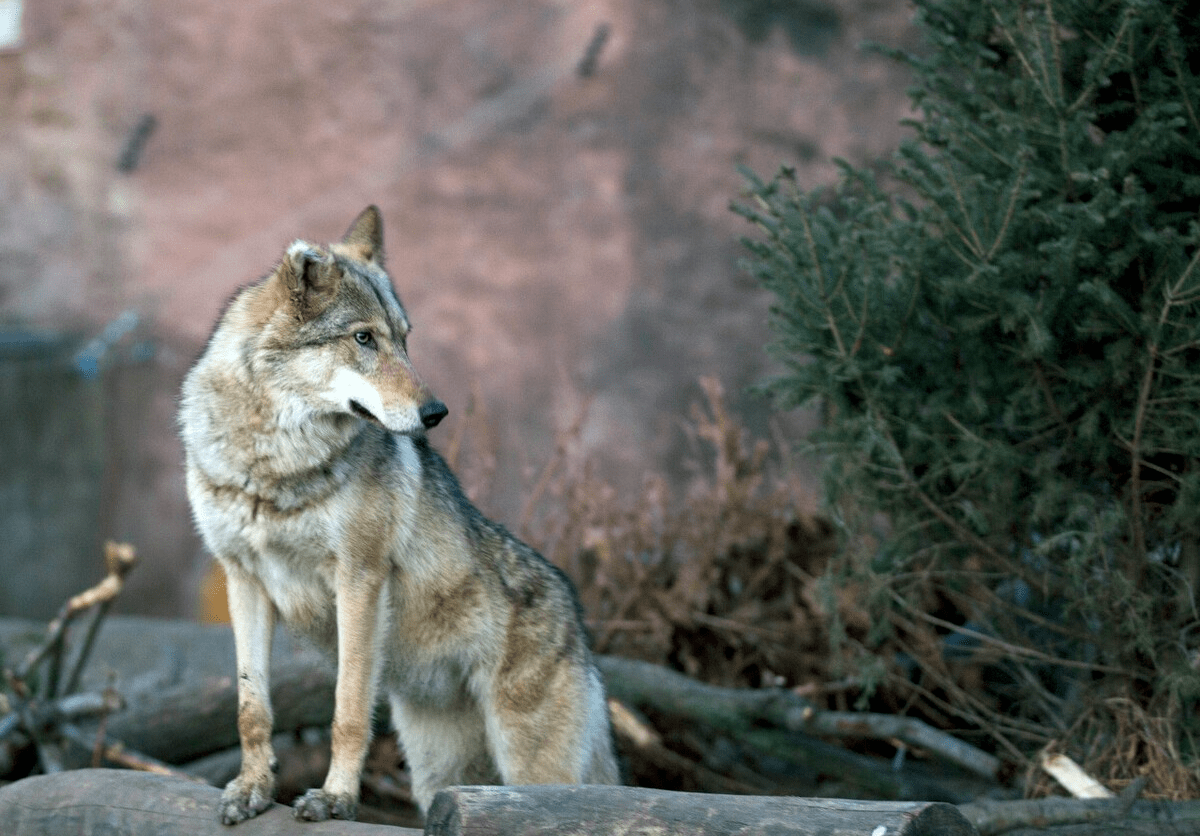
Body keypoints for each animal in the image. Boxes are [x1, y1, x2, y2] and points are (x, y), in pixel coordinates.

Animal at [182, 207, 624, 820]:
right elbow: (252, 709)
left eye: (405, 340)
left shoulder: (359, 579)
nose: (436, 413)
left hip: (533, 771)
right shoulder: (243, 579)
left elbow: (347, 711)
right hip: (440, 776)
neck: (274, 467)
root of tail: (580, 624)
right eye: (363, 338)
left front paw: (336, 798)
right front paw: (251, 789)